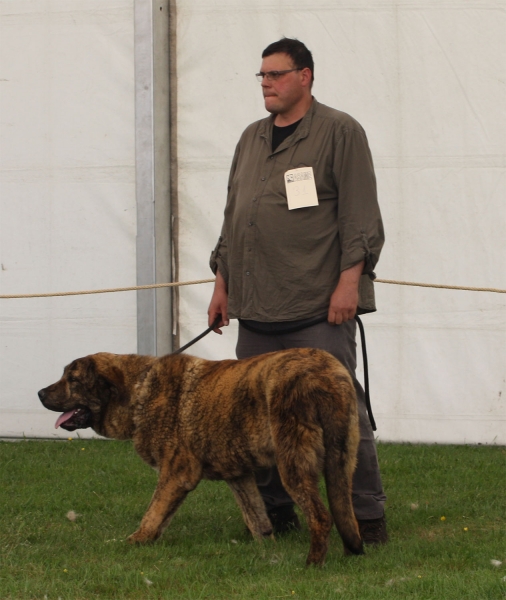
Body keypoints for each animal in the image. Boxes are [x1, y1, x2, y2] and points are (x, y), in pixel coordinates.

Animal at [39, 346, 364, 564]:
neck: (138, 391)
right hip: (342, 460)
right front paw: (266, 549)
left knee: (320, 516)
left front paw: (136, 541)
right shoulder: (239, 476)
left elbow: (154, 513)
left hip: (293, 462)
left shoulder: (176, 473)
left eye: (73, 380)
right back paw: (353, 554)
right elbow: (257, 518)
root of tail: (323, 373)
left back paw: (312, 563)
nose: (40, 393)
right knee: (345, 512)